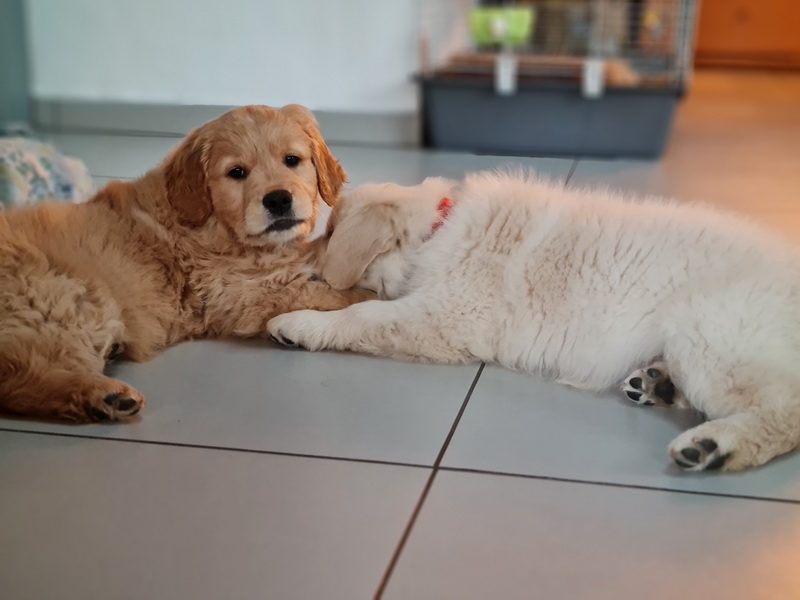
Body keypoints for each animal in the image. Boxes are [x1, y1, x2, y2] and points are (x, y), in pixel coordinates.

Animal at [0, 104, 370, 423]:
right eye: (237, 172)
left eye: (292, 160)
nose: (278, 200)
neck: (218, 226)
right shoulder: (237, 296)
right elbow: (323, 293)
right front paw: (368, 297)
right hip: (68, 299)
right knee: (19, 377)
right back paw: (101, 396)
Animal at [268, 171, 800, 472]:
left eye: (329, 235)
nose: (297, 261)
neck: (439, 228)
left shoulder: (444, 315)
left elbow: (362, 314)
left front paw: (299, 322)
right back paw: (656, 383)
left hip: (711, 338)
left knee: (784, 413)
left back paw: (713, 446)